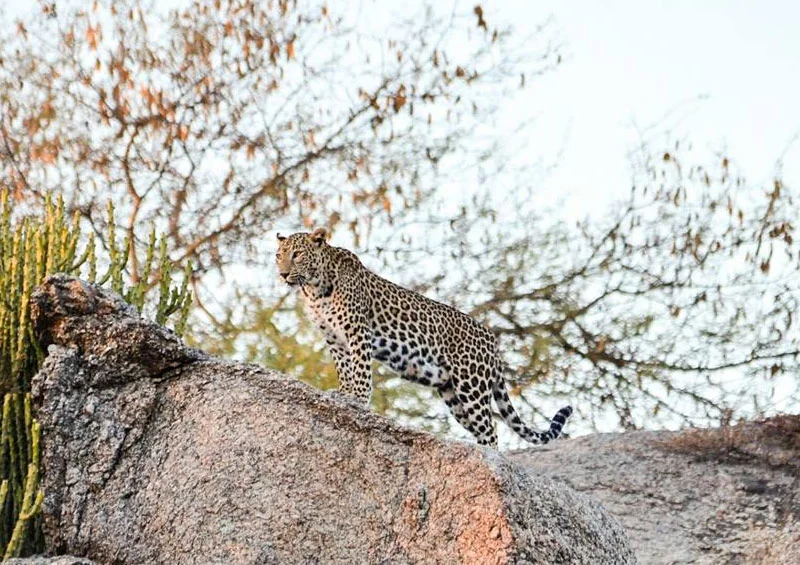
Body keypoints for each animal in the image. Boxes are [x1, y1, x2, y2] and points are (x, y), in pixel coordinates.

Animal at [278, 227, 572, 448]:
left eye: (297, 254)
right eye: (278, 256)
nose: (282, 274)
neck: (314, 289)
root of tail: (493, 341)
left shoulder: (357, 331)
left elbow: (360, 369)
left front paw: (358, 398)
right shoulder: (334, 338)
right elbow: (344, 368)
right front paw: (344, 393)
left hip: (472, 385)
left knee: (490, 431)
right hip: (452, 393)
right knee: (481, 428)